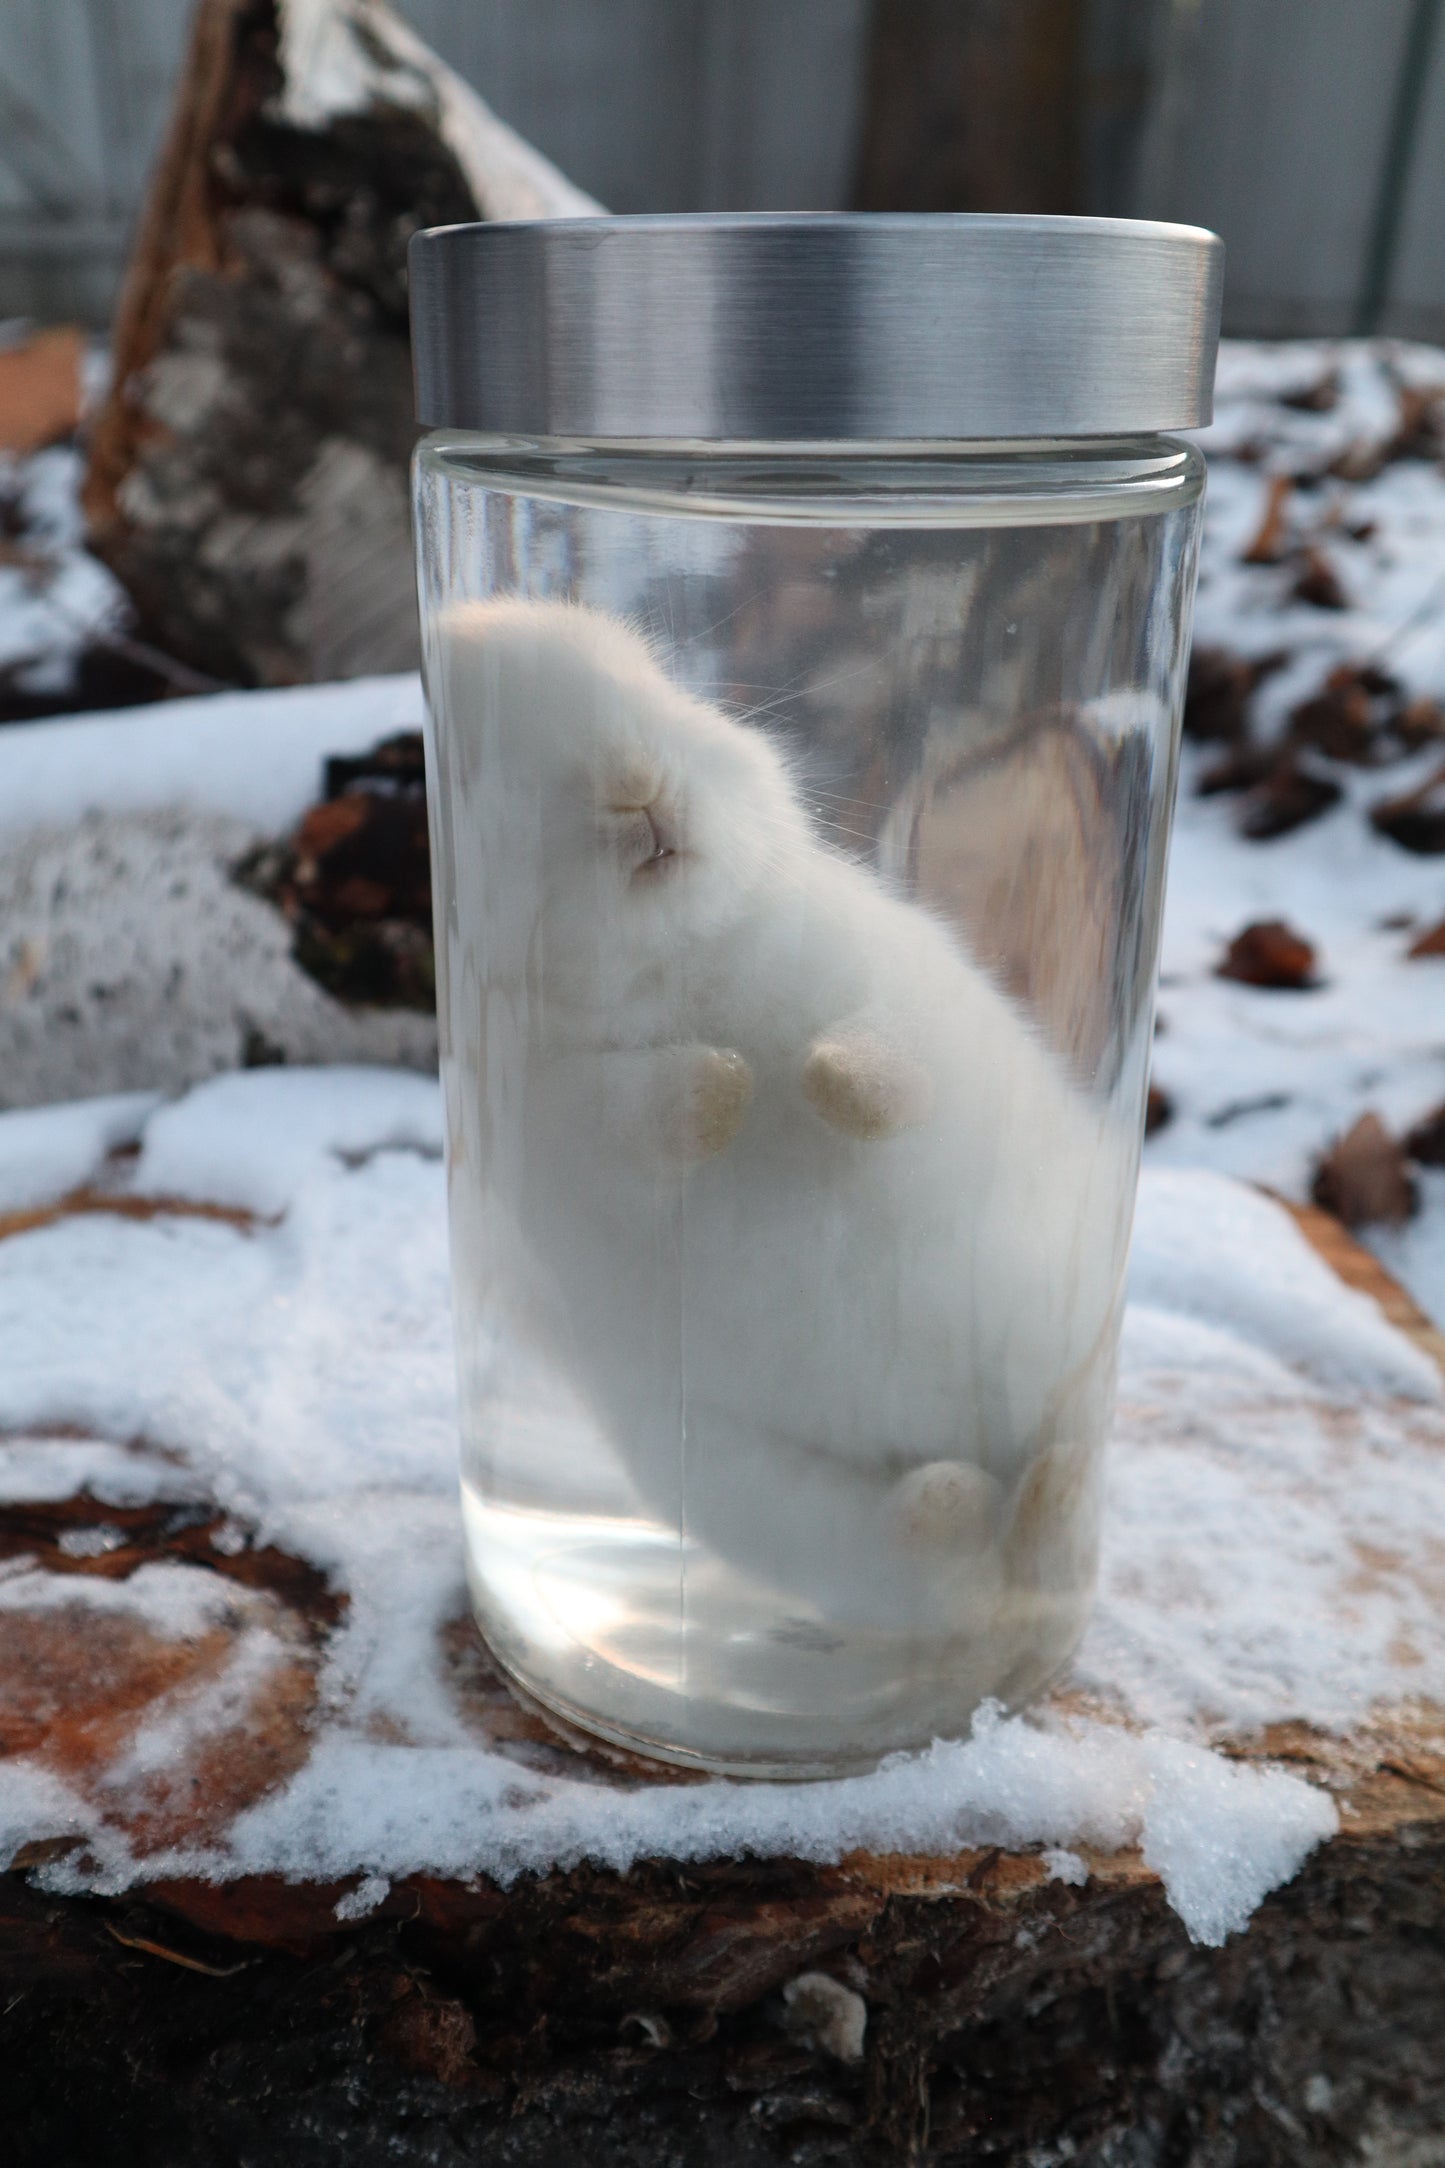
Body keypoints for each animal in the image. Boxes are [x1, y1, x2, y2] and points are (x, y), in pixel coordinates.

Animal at [426, 597, 1134, 1637]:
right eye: (475, 767)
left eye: (660, 686)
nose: (631, 783)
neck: (673, 970)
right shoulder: (554, 1114)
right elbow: (643, 1110)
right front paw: (728, 1085)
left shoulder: (896, 995)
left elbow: (885, 1065)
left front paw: (818, 1076)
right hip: (750, 1491)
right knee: (951, 1557)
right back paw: (947, 1504)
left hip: (1058, 1331)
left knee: (1049, 1513)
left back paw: (1038, 1491)